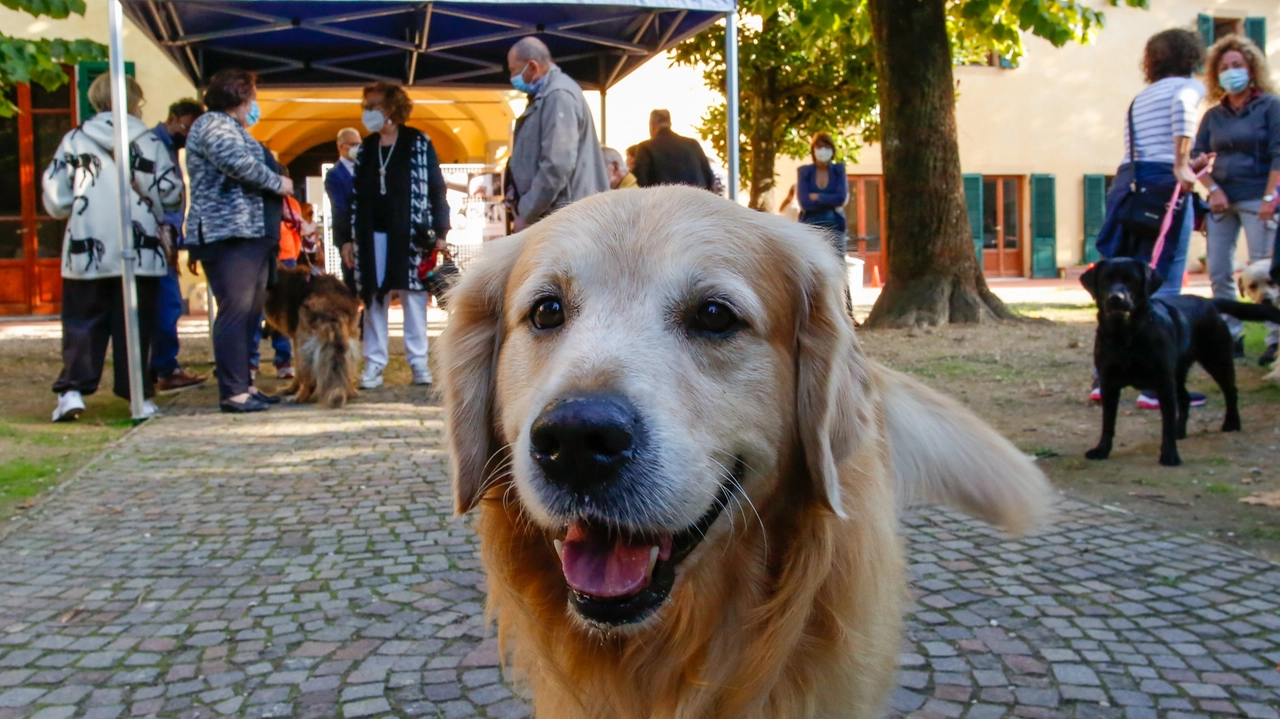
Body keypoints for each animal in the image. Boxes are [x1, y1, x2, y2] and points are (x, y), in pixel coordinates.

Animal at [261, 266, 358, 406]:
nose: (263, 333)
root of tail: (333, 305)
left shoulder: (296, 341)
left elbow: (298, 370)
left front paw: (292, 388)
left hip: (305, 343)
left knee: (310, 380)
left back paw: (298, 398)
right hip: (348, 341)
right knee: (347, 370)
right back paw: (349, 392)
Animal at [1080, 257, 1239, 465]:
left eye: (1132, 280)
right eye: (1106, 279)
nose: (1116, 298)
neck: (1125, 336)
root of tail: (1208, 302)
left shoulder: (1163, 383)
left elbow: (1167, 423)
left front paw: (1170, 454)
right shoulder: (1108, 383)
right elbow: (1108, 422)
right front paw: (1102, 450)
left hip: (1217, 360)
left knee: (1230, 391)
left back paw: (1232, 423)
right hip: (1178, 375)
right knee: (1185, 399)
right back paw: (1181, 432)